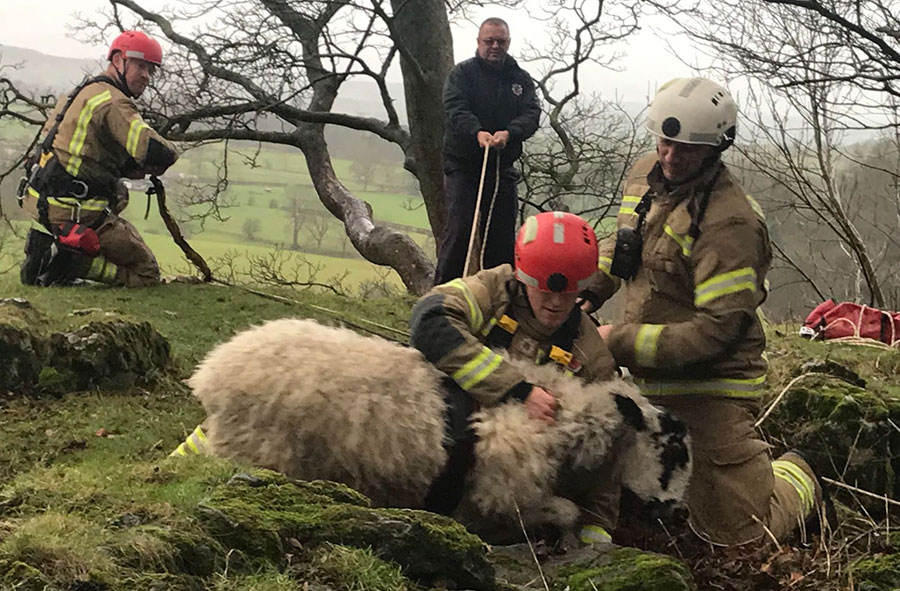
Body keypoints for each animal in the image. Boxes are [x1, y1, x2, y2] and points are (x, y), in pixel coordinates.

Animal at [190, 322, 688, 540]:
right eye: (670, 450)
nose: (676, 513)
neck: (563, 416)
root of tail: (212, 372)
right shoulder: (501, 493)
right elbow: (563, 512)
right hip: (259, 450)